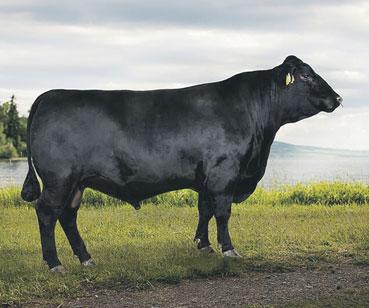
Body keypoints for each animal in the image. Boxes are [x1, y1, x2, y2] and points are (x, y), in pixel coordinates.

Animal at [21, 56, 340, 272]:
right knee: (47, 213)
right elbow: (222, 213)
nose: (337, 97)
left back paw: (86, 259)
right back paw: (55, 264)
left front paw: (204, 245)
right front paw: (228, 250)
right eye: (307, 76)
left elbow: (205, 210)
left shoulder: (207, 178)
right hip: (59, 179)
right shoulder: (224, 174)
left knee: (67, 216)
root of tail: (51, 94)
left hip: (76, 183)